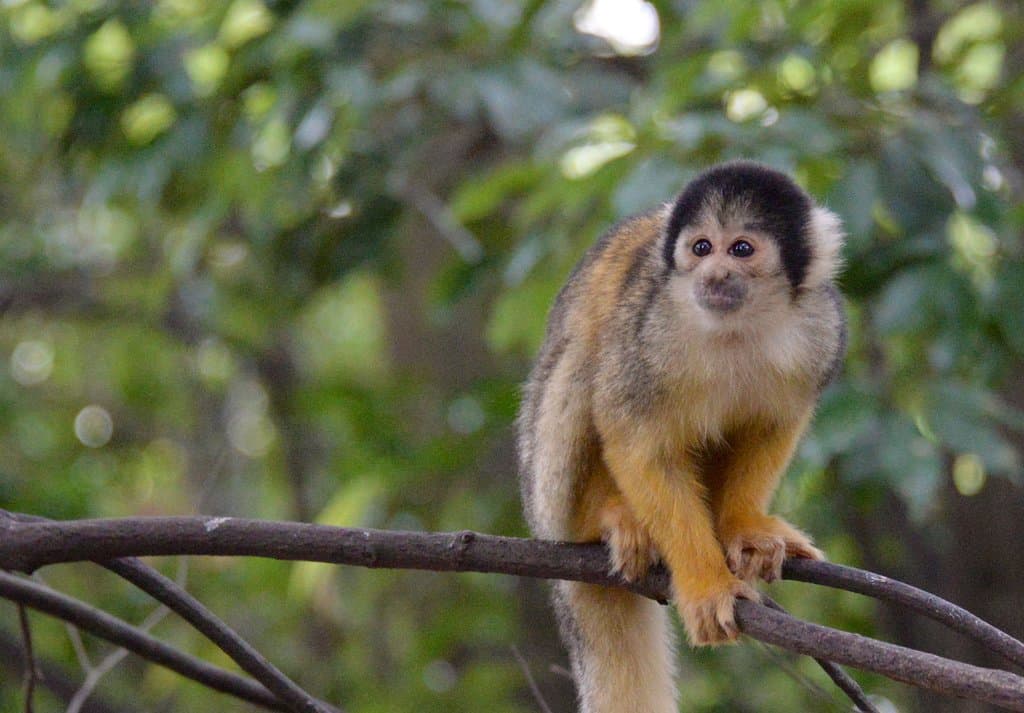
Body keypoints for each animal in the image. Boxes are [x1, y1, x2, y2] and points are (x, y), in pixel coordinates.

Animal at [516, 160, 846, 713]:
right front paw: (706, 586)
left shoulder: (821, 329)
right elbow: (635, 437)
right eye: (701, 248)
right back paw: (602, 516)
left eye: (741, 249)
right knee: (586, 360)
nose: (713, 275)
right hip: (545, 493)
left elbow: (774, 424)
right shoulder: (650, 330)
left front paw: (744, 528)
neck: (738, 325)